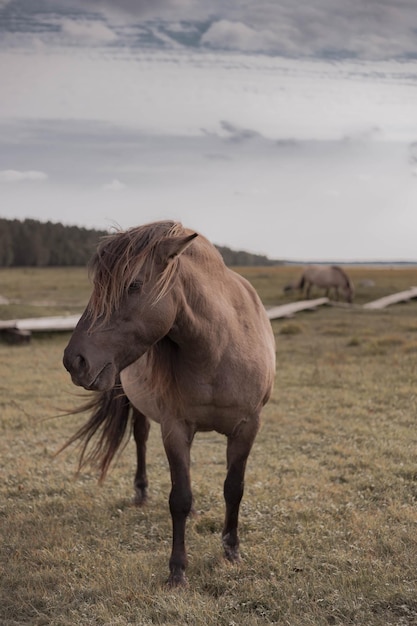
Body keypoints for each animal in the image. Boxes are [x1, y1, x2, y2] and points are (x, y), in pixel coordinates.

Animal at [61, 219, 276, 584]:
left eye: (133, 284)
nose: (75, 361)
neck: (219, 348)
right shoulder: (175, 429)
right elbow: (179, 498)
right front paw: (177, 569)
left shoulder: (248, 427)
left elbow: (234, 488)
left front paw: (231, 550)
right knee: (141, 437)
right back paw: (141, 491)